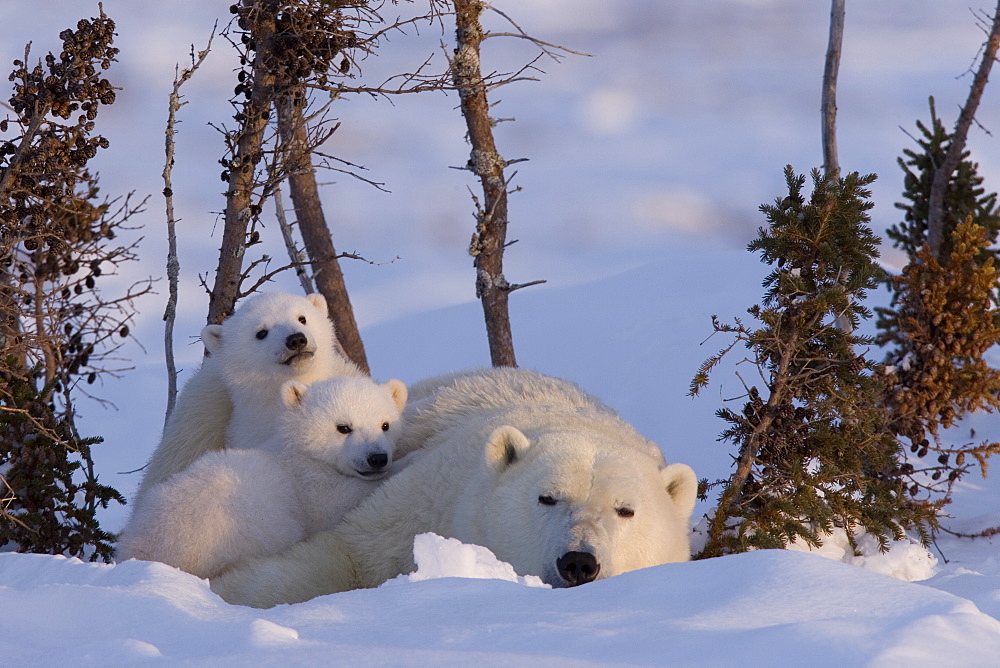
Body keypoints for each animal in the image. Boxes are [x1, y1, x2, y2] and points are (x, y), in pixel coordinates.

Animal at [118, 376, 410, 580]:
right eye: (343, 427)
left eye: (385, 425)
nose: (377, 458)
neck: (296, 451)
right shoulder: (307, 486)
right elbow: (339, 503)